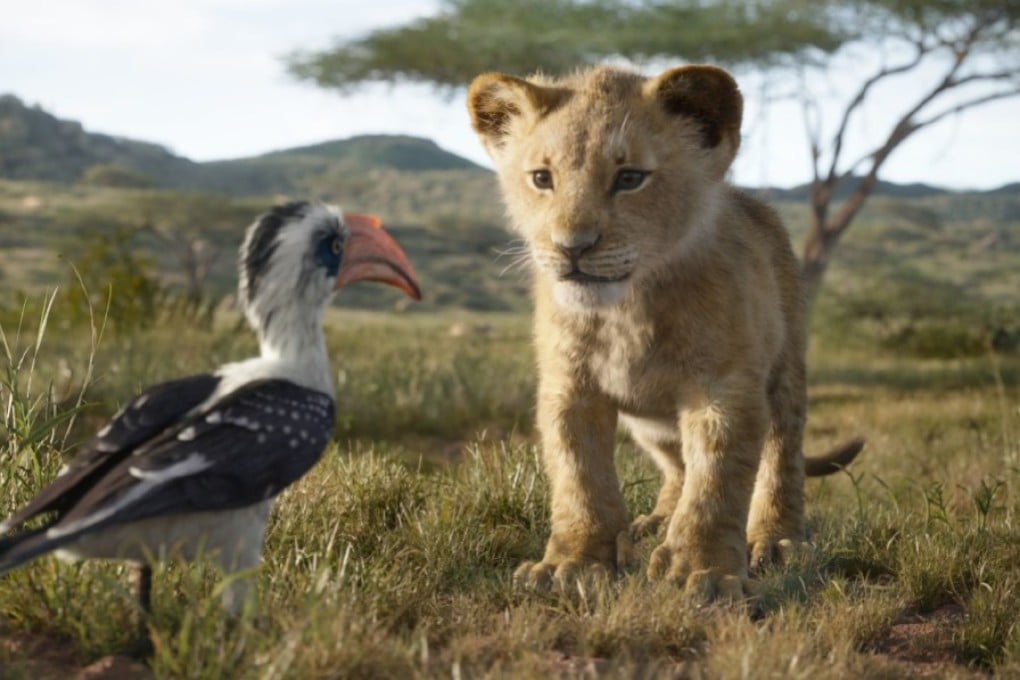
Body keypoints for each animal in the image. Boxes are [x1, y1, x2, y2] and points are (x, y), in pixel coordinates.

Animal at [466, 64, 863, 602]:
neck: (626, 310)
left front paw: (705, 572)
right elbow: (579, 478)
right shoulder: (569, 388)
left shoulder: (724, 389)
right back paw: (653, 523)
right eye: (542, 179)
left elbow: (716, 483)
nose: (572, 247)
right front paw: (572, 564)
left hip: (785, 373)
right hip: (650, 424)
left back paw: (777, 540)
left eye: (630, 178)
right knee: (677, 466)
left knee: (782, 457)